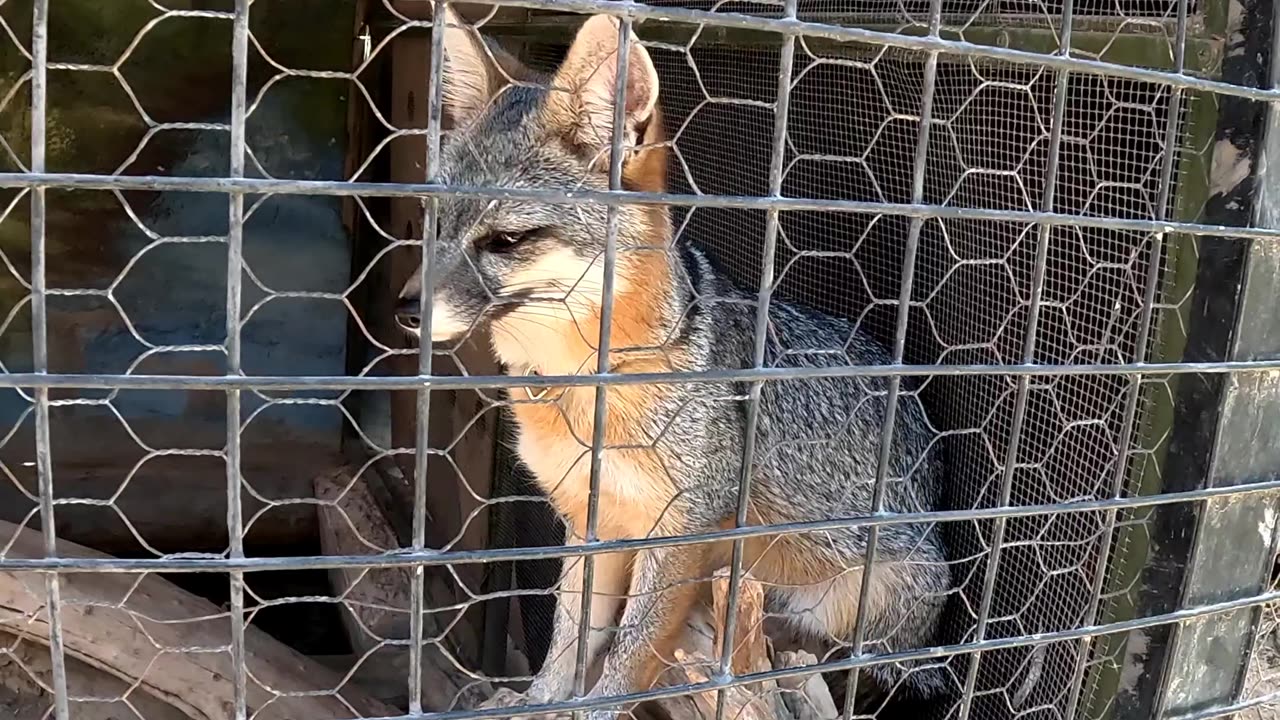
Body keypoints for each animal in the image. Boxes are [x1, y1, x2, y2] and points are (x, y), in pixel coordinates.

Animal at [396, 8, 952, 712]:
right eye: (434, 225)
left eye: (507, 240)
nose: (404, 311)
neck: (587, 387)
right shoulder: (595, 522)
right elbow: (570, 639)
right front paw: (542, 701)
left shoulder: (686, 533)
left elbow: (627, 658)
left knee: (848, 658)